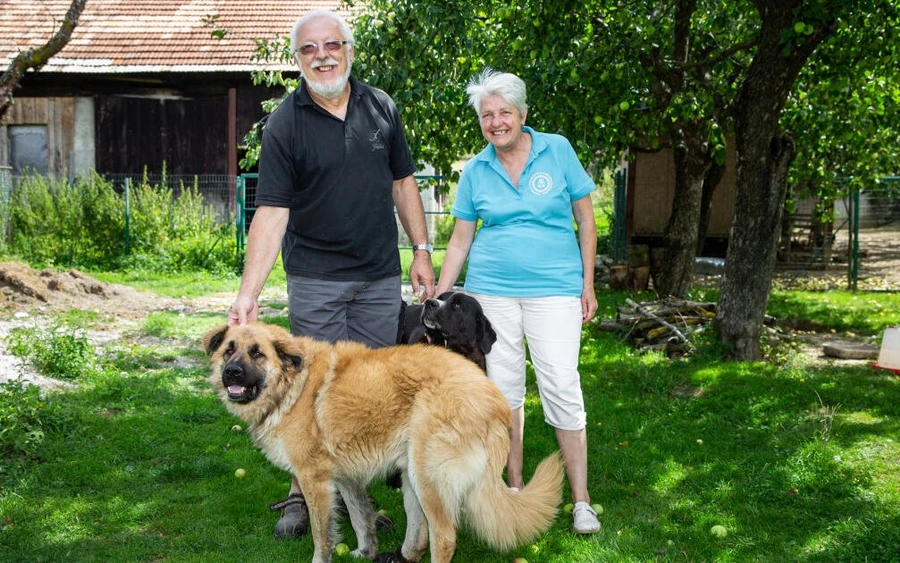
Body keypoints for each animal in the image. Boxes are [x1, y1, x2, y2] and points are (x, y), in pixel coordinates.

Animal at [207, 322, 568, 563]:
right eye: (229, 350)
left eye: (257, 354)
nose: (232, 373)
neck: (292, 382)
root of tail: (493, 398)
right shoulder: (345, 478)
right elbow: (360, 518)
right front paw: (365, 551)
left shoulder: (314, 479)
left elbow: (322, 535)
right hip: (412, 474)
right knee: (419, 532)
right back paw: (402, 555)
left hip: (428, 477)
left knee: (444, 537)